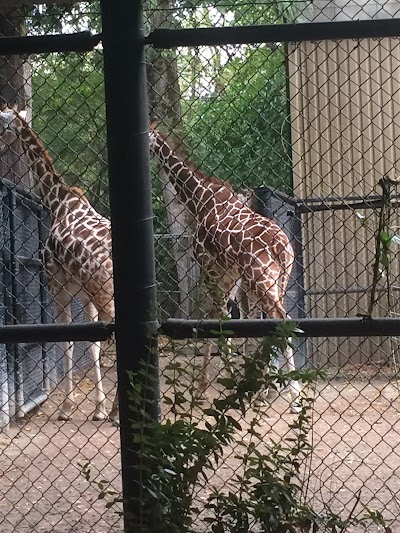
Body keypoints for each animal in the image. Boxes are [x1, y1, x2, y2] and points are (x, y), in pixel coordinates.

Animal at [0, 106, 119, 422]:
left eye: (2, 125)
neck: (56, 201)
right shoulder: (84, 295)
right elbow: (92, 347)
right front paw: (98, 409)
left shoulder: (58, 288)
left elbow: (66, 343)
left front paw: (66, 408)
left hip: (106, 295)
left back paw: (118, 412)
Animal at [148, 122, 302, 410]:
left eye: (148, 138)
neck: (197, 197)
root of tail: (281, 247)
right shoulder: (228, 275)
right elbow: (227, 321)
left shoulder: (209, 268)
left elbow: (218, 322)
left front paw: (215, 385)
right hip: (278, 281)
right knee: (274, 322)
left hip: (260, 281)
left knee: (281, 321)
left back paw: (293, 396)